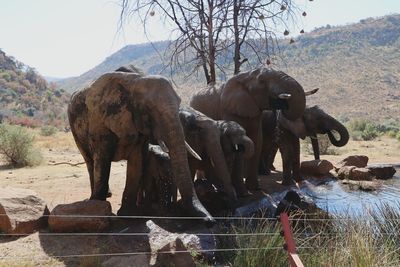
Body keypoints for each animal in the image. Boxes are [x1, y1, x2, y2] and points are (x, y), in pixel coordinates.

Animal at [68, 69, 216, 224]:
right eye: (149, 108)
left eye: (179, 103)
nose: (210, 222)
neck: (135, 80)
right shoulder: (99, 120)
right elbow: (102, 160)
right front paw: (100, 209)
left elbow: (136, 162)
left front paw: (128, 215)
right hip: (75, 130)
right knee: (90, 161)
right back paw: (95, 198)